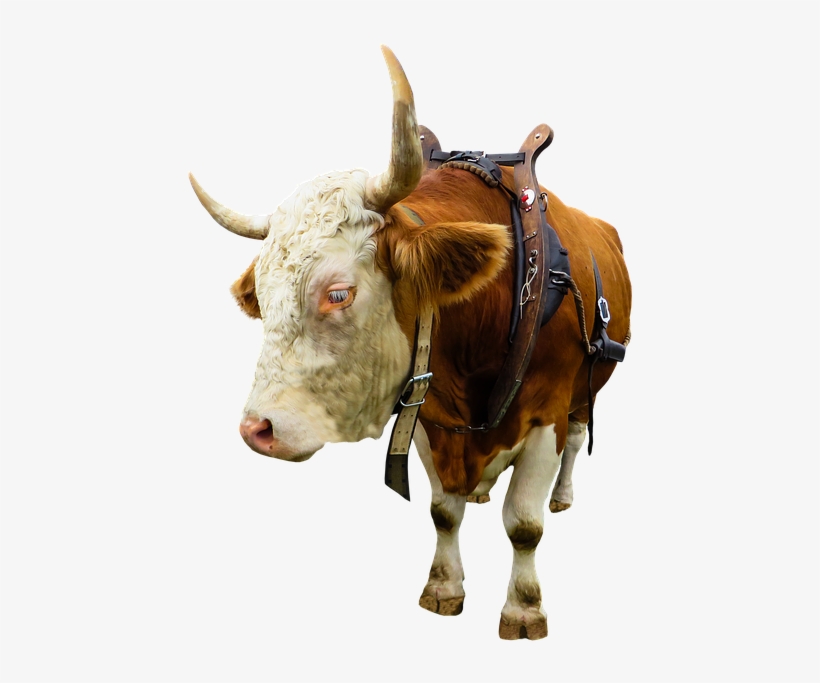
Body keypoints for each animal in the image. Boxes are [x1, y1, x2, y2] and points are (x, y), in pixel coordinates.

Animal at [190, 46, 631, 640]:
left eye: (338, 293)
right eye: (260, 294)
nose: (256, 429)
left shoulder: (546, 414)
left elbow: (524, 523)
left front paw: (523, 607)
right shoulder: (427, 416)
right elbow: (443, 511)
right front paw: (443, 587)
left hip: (587, 388)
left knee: (580, 433)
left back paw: (561, 497)